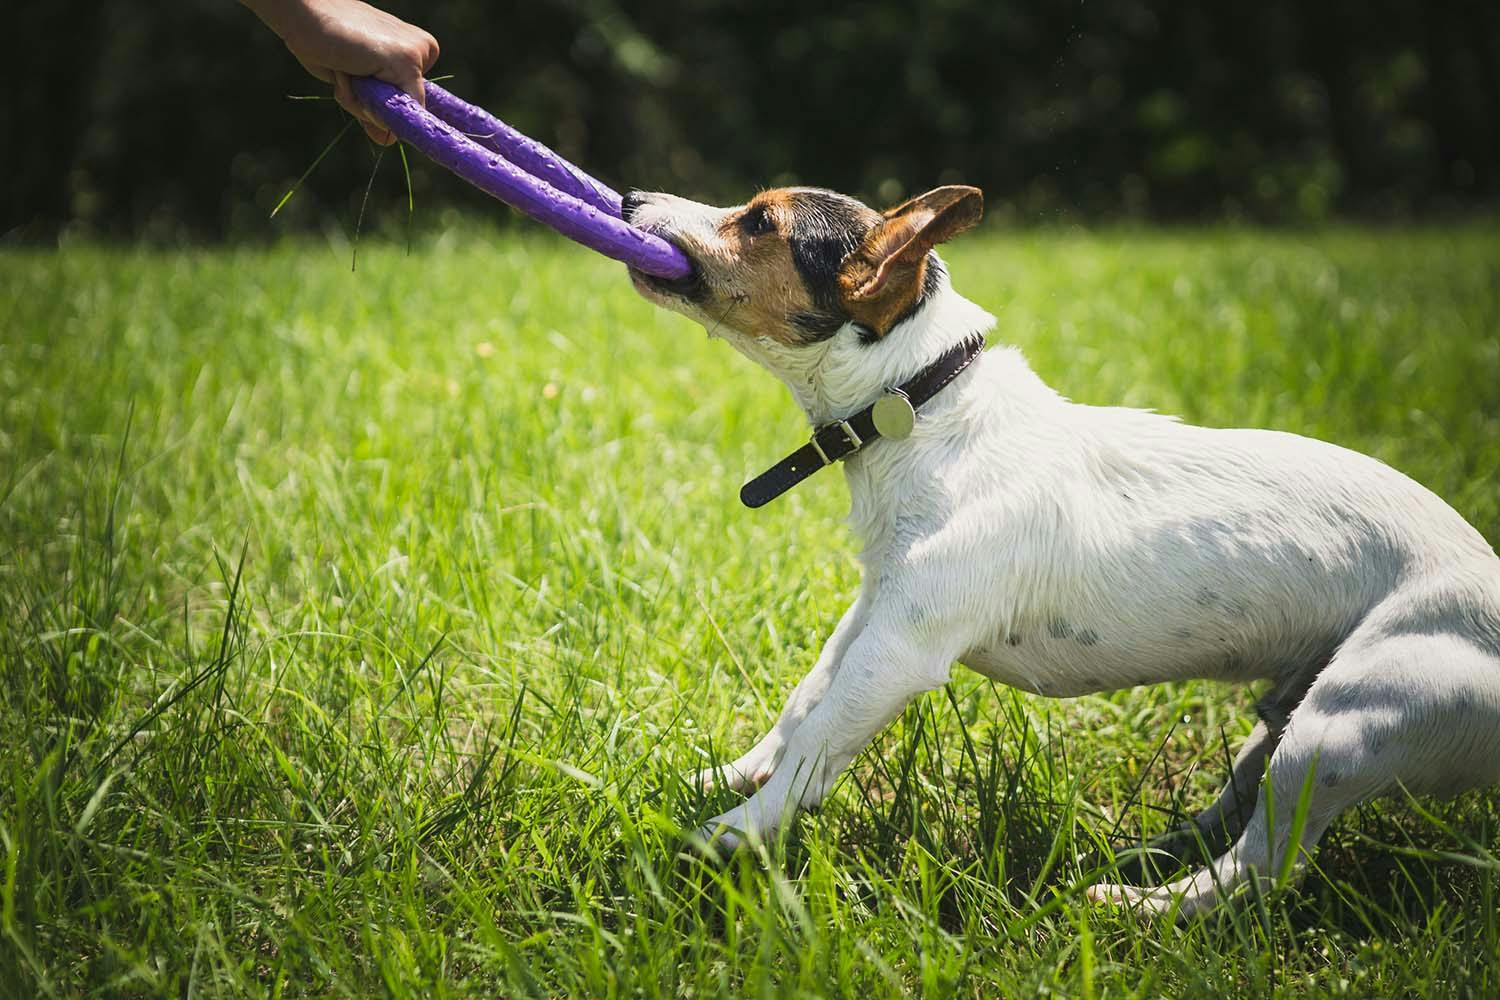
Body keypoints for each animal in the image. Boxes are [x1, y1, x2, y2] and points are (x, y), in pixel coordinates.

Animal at [618, 182, 1500, 917]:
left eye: (760, 222)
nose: (628, 198)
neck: (926, 401)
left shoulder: (899, 651)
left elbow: (819, 743)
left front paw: (733, 829)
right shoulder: (872, 612)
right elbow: (803, 702)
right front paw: (728, 776)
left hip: (1343, 726)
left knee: (1263, 867)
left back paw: (1138, 905)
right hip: (1288, 716)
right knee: (1239, 804)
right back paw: (1154, 848)